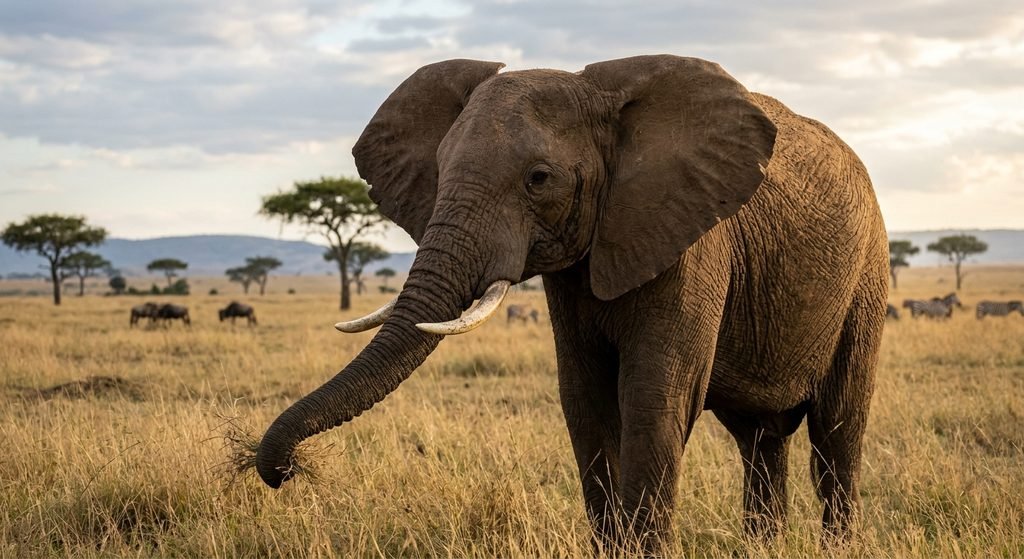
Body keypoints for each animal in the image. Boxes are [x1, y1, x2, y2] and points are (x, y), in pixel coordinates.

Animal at [255, 55, 888, 552]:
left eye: (538, 178)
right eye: (439, 169)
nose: (284, 472)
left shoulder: (694, 240)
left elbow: (655, 399)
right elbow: (585, 402)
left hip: (868, 273)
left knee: (836, 431)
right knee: (760, 439)